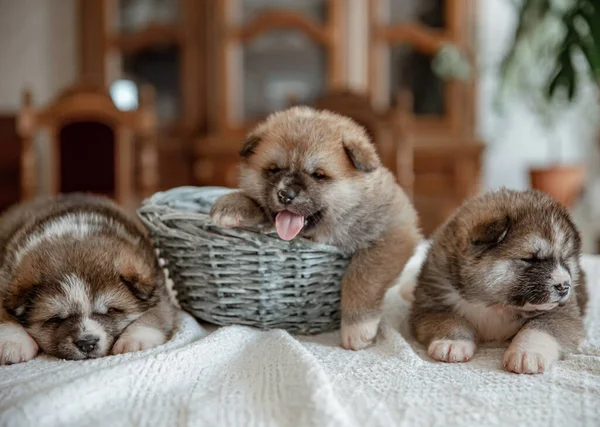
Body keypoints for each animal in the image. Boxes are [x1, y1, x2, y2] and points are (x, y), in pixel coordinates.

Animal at [0, 194, 176, 364]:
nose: (87, 343)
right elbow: (4, 315)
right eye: (56, 318)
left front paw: (134, 340)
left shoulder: (160, 292)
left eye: (111, 310)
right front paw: (13, 343)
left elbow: (154, 315)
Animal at [211, 107, 422, 352]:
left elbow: (362, 274)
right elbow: (255, 202)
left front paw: (357, 327)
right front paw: (231, 205)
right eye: (273, 170)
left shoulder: (394, 230)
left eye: (318, 175)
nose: (285, 195)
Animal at [410, 190, 588, 374]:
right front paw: (452, 342)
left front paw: (526, 353)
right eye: (530, 259)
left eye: (565, 259)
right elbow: (449, 318)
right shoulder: (430, 303)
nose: (564, 286)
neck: (496, 304)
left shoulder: (562, 313)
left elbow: (539, 327)